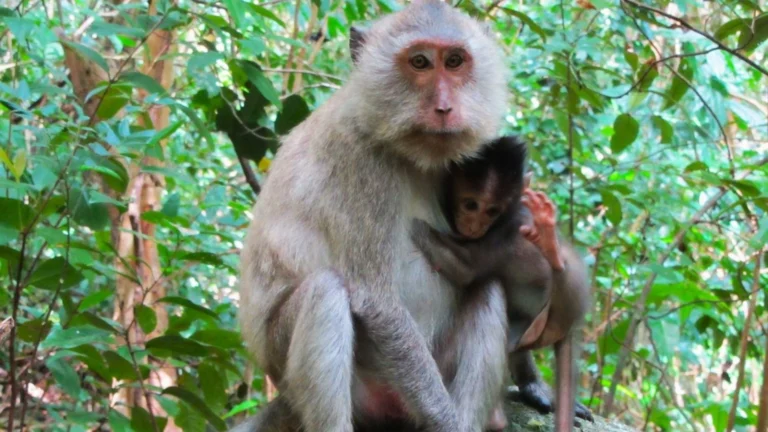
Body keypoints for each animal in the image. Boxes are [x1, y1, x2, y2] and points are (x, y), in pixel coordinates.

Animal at [234, 1, 512, 431]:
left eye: (454, 61)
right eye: (419, 62)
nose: (444, 108)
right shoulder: (361, 165)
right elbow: (377, 302)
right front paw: (446, 422)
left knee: (489, 287)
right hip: (325, 382)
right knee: (326, 293)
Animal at [410, 135, 594, 431]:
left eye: (492, 210)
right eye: (471, 205)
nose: (474, 226)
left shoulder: (504, 235)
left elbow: (464, 269)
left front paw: (417, 227)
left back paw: (553, 253)